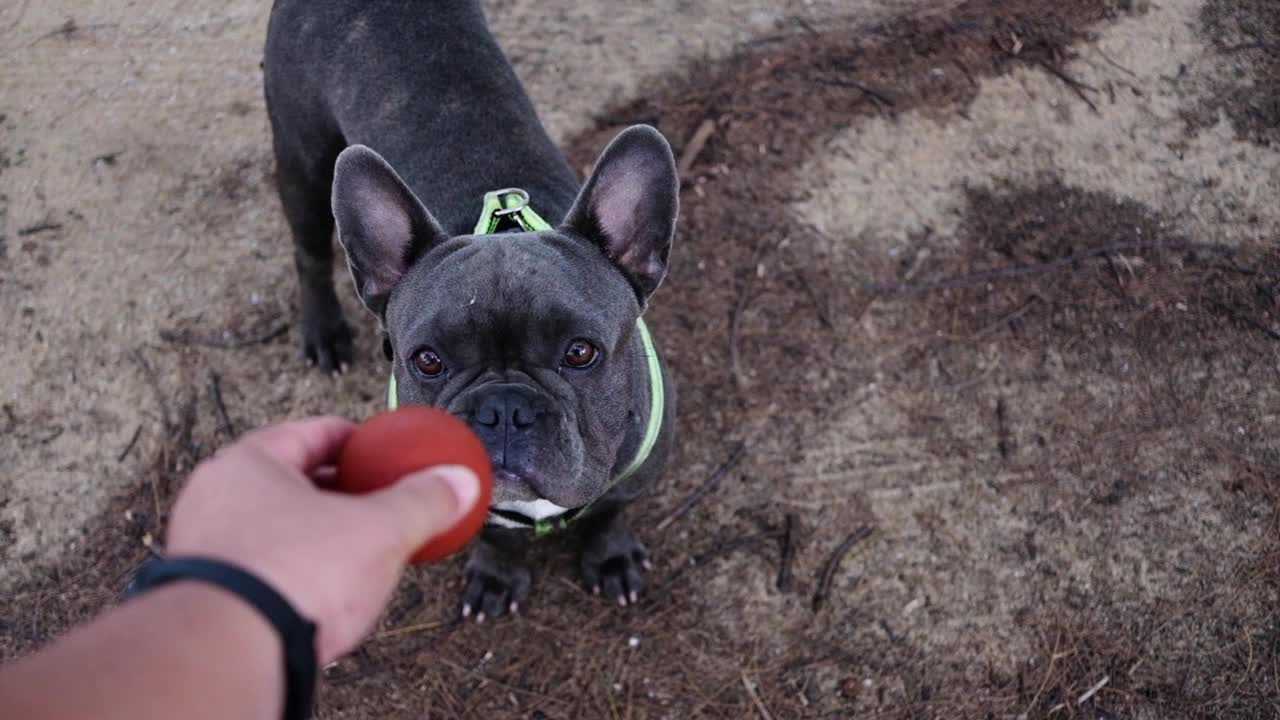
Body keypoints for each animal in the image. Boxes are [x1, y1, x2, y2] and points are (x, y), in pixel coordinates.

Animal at [262, 0, 680, 617]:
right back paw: (324, 333)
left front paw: (609, 555)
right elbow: (495, 534)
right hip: (302, 160)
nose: (503, 408)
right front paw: (498, 576)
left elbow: (606, 512)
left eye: (581, 353)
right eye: (427, 360)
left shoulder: (631, 476)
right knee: (309, 251)